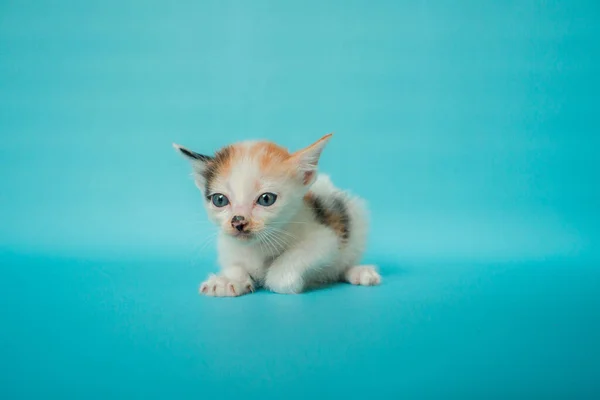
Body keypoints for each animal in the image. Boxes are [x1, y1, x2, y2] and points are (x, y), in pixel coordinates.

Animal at [173, 133, 380, 296]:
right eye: (220, 200)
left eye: (266, 199)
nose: (238, 221)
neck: (258, 247)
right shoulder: (227, 245)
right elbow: (235, 265)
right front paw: (228, 280)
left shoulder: (326, 236)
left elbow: (296, 258)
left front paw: (284, 278)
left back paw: (359, 272)